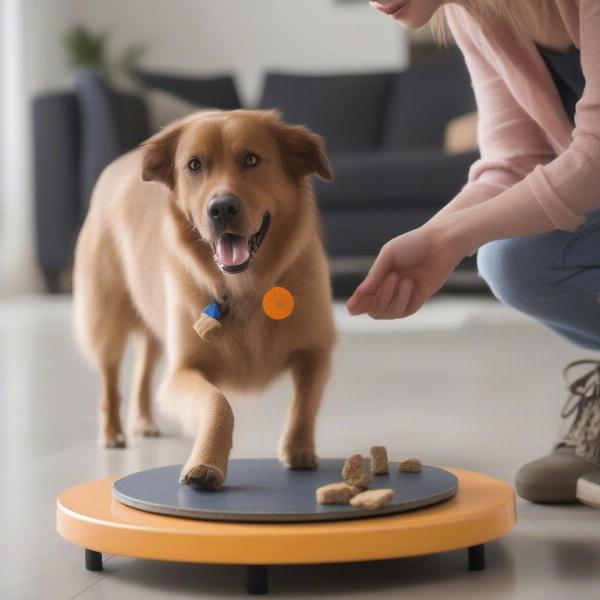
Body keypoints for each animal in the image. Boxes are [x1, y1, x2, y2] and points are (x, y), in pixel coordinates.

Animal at [72, 110, 336, 490]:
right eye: (194, 165)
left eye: (251, 159)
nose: (222, 209)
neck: (245, 289)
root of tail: (118, 165)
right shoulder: (183, 371)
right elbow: (217, 404)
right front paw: (206, 462)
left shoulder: (318, 349)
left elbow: (305, 401)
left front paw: (298, 448)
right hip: (106, 317)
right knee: (110, 376)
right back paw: (112, 432)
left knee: (143, 368)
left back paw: (143, 421)